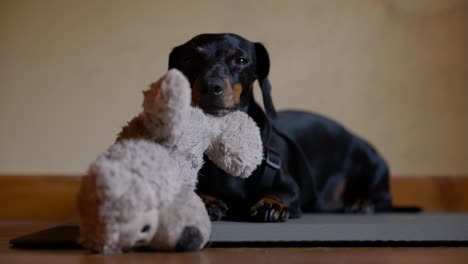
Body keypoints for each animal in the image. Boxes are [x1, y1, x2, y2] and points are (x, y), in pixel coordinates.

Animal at [166, 33, 394, 223]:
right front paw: (206, 201)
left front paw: (271, 203)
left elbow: (283, 193)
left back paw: (362, 203)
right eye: (189, 58)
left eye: (241, 60)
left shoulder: (291, 187)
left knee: (384, 199)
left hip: (373, 166)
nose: (212, 87)